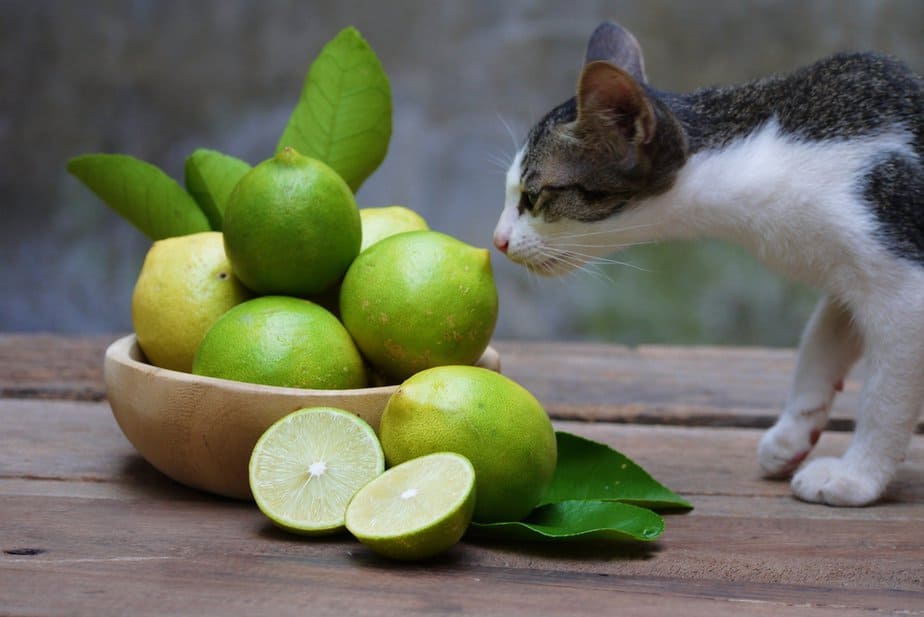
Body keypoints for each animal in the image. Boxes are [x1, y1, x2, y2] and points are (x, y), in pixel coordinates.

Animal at [498, 21, 924, 508]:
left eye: (533, 197)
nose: (498, 240)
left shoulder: (903, 288)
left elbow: (884, 396)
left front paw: (858, 476)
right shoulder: (847, 272)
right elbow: (820, 342)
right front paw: (793, 434)